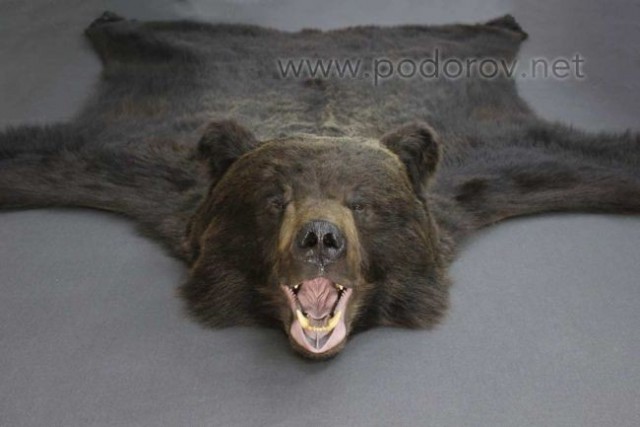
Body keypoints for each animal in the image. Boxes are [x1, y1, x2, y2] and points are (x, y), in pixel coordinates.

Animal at [1, 12, 639, 359]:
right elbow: (39, 158)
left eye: (363, 203)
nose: (320, 239)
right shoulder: (142, 163)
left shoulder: (487, 169)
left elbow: (593, 165)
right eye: (273, 199)